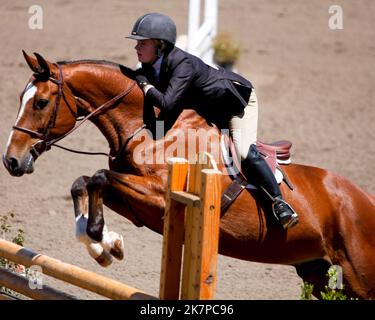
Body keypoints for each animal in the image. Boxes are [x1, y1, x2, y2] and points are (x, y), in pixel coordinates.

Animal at [2, 51, 375, 298]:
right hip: (318, 272)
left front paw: (103, 241)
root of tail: (365, 200)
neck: (149, 127)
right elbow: (85, 182)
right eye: (21, 98)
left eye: (41, 103)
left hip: (359, 273)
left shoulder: (158, 196)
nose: (11, 161)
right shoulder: (139, 206)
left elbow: (98, 177)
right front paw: (105, 244)